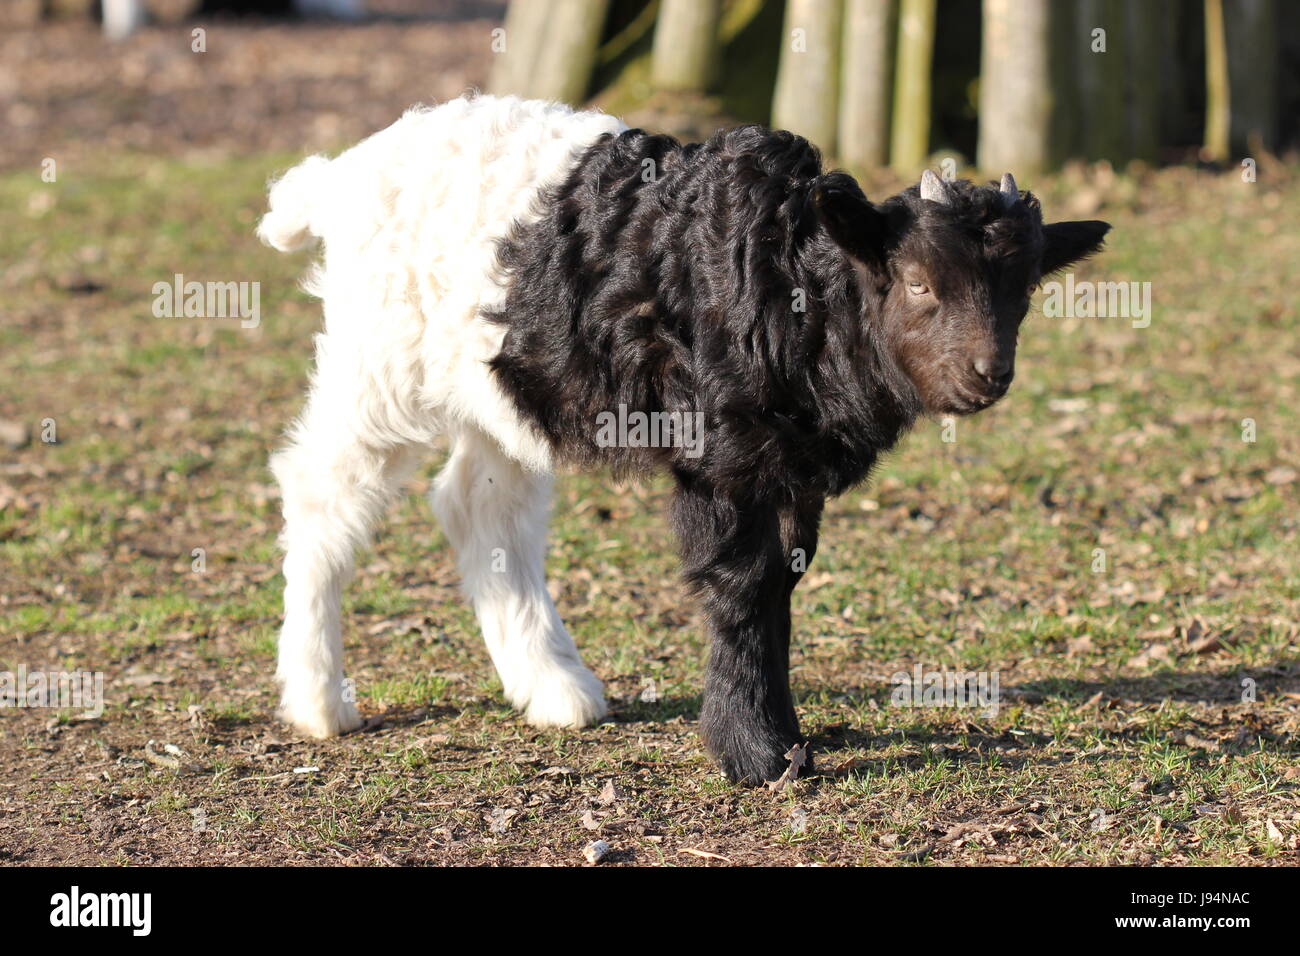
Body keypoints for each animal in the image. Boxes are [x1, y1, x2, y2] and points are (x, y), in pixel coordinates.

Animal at [258, 95, 1112, 785]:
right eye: (920, 283)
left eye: (1024, 291)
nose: (988, 373)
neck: (793, 286)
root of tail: (336, 178)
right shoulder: (721, 455)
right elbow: (743, 583)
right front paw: (755, 752)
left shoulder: (789, 466)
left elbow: (782, 583)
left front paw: (783, 739)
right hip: (377, 363)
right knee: (323, 494)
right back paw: (318, 699)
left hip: (506, 381)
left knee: (480, 507)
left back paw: (555, 688)